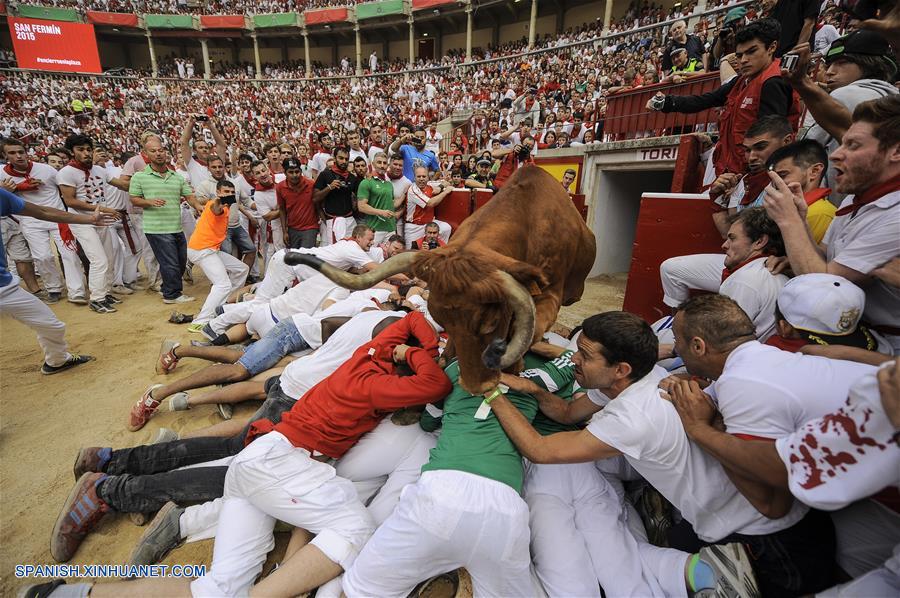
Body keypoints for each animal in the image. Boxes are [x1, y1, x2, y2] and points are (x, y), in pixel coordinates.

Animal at [286, 166, 596, 396]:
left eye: (491, 322)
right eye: (443, 321)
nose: (476, 387)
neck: (526, 223)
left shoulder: (551, 295)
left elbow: (530, 329)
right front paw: (446, 356)